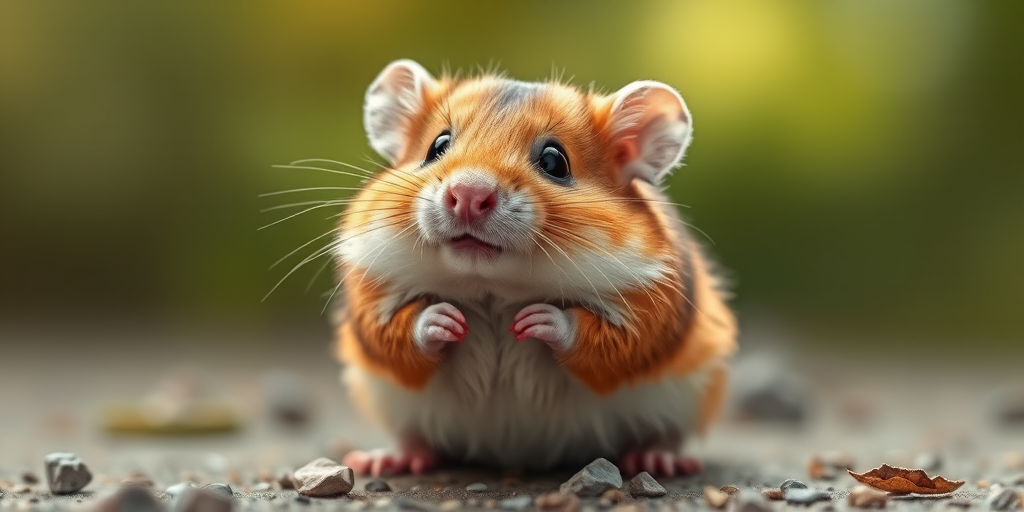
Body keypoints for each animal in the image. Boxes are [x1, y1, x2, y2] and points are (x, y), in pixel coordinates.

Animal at [332, 60, 737, 477]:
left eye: (555, 161)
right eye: (437, 146)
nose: (468, 195)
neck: (491, 288)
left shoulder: (649, 310)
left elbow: (609, 340)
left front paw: (535, 320)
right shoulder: (370, 294)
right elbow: (394, 333)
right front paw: (445, 319)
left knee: (663, 436)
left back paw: (658, 459)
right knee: (416, 439)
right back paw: (386, 460)